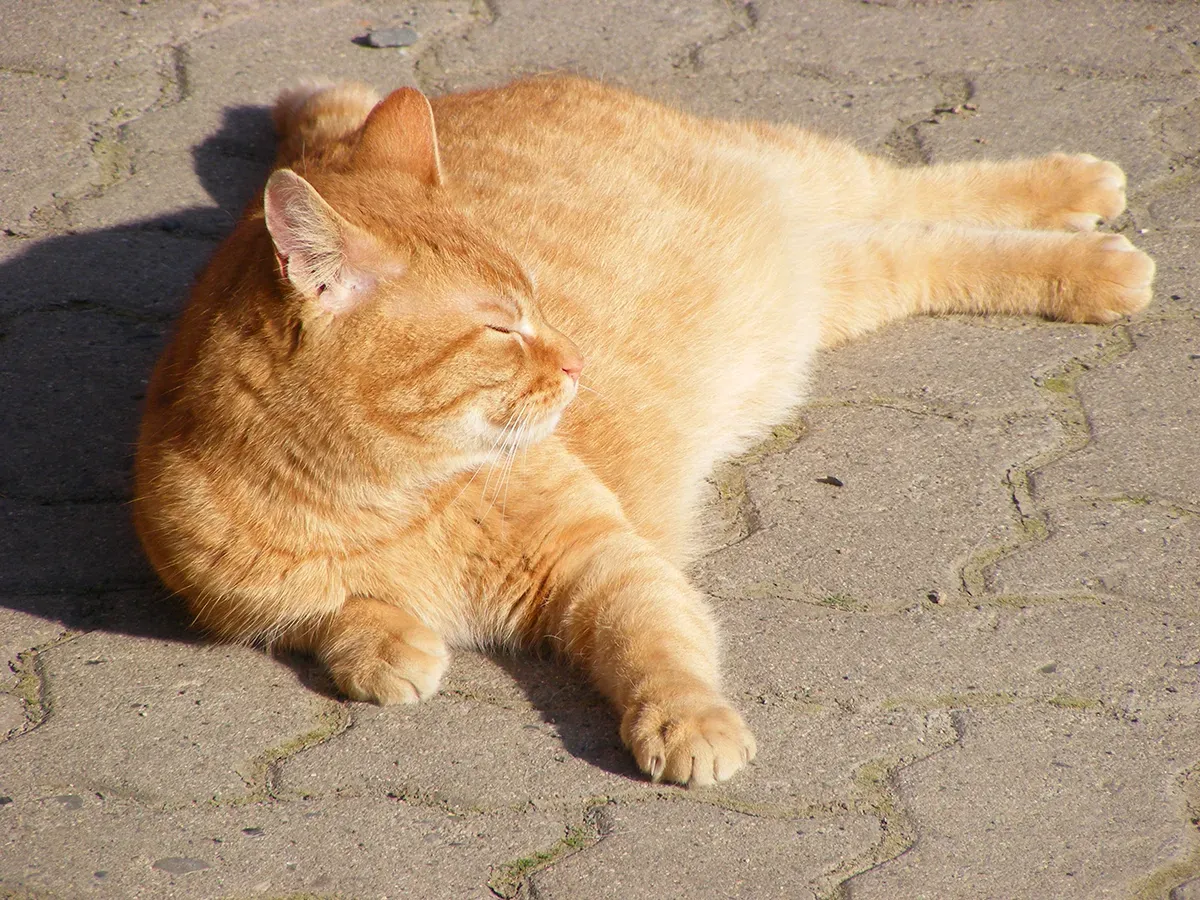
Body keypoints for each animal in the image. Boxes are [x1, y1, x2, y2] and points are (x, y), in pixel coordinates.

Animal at [131, 77, 1152, 787]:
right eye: (502, 327)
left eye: (535, 298)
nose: (576, 363)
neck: (384, 501)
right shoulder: (233, 600)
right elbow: (324, 612)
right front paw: (382, 641)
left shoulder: (600, 557)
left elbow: (655, 644)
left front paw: (688, 722)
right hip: (830, 281)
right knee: (922, 246)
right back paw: (1088, 251)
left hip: (806, 174)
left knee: (917, 187)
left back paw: (1087, 214)